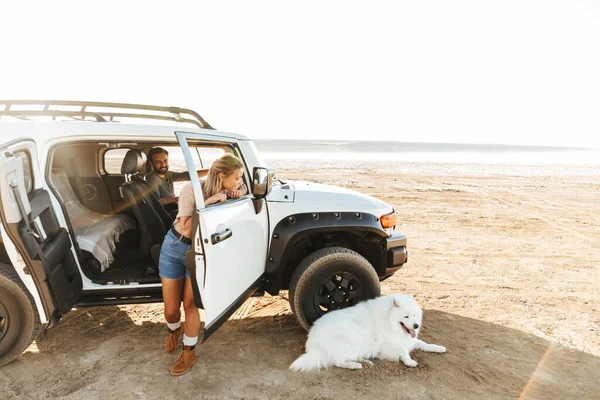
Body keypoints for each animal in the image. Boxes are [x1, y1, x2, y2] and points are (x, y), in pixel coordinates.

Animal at [290, 294, 446, 372]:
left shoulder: (409, 340)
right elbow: (403, 351)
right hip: (354, 340)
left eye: (414, 315)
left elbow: (424, 343)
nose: (416, 325)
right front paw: (409, 361)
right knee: (336, 361)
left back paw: (364, 360)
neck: (389, 320)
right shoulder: (387, 347)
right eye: (406, 316)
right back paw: (354, 365)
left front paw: (438, 348)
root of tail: (314, 343)